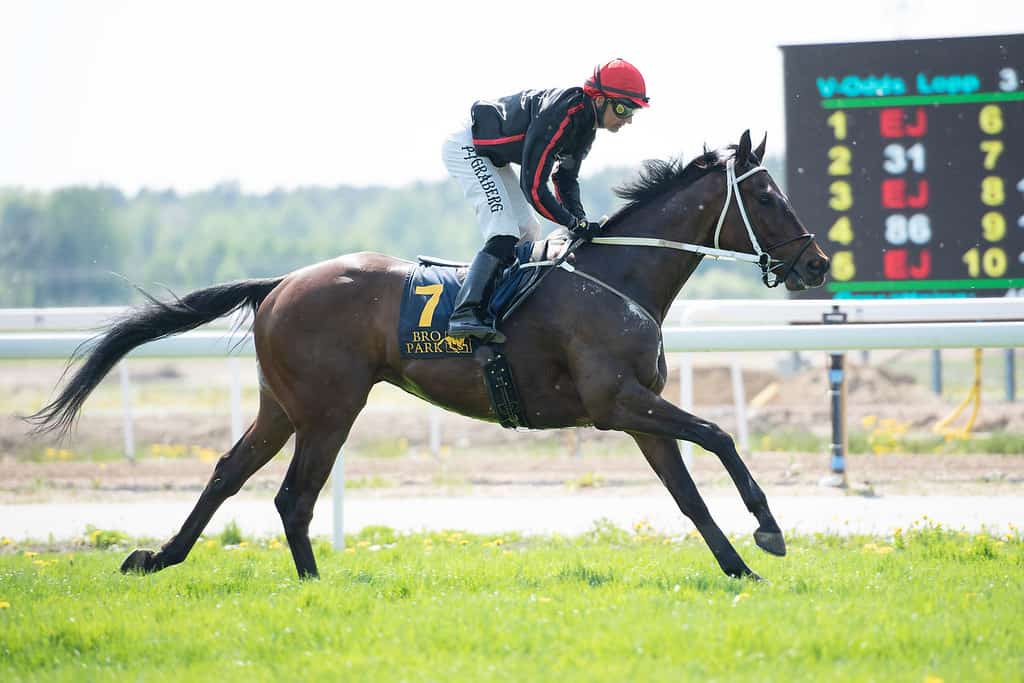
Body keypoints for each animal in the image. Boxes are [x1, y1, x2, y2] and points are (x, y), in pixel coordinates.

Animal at [28, 132, 827, 581]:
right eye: (766, 195)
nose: (817, 263)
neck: (618, 277)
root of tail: (278, 283)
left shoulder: (636, 412)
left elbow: (687, 492)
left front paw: (740, 567)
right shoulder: (618, 403)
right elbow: (721, 436)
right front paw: (769, 529)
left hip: (282, 405)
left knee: (229, 471)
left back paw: (159, 557)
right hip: (330, 407)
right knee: (294, 495)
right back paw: (312, 584)